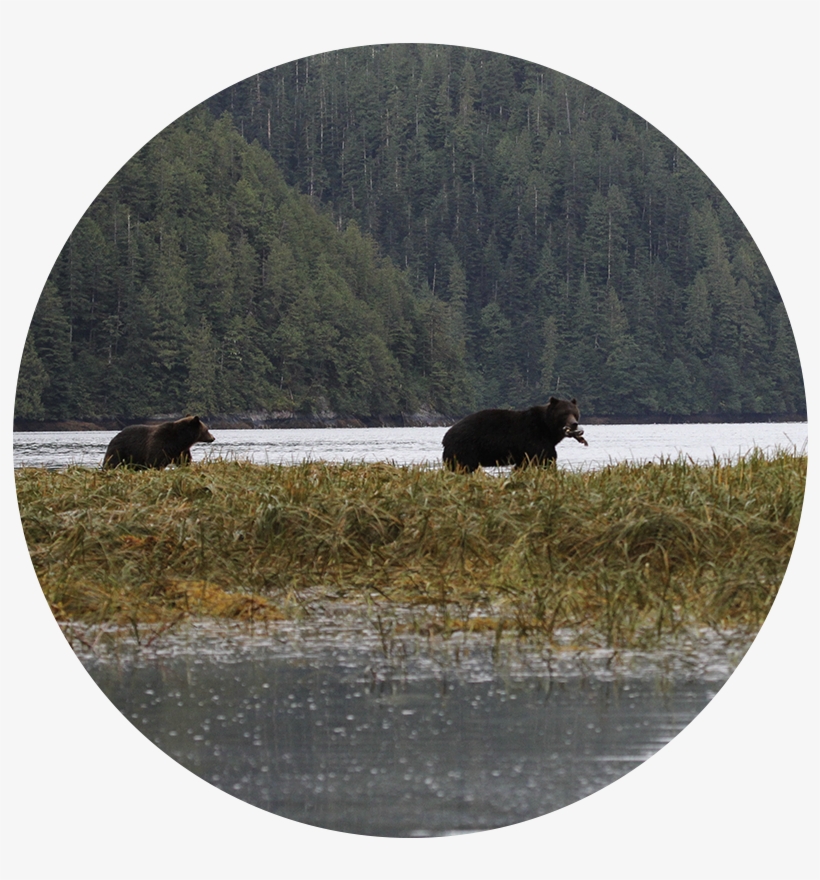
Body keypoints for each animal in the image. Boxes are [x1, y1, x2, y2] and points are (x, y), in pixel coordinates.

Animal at [442, 397, 587, 472]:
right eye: (564, 413)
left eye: (575, 413)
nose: (574, 424)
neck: (547, 429)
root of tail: (446, 437)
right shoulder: (535, 437)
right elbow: (544, 458)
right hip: (465, 448)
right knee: (463, 466)